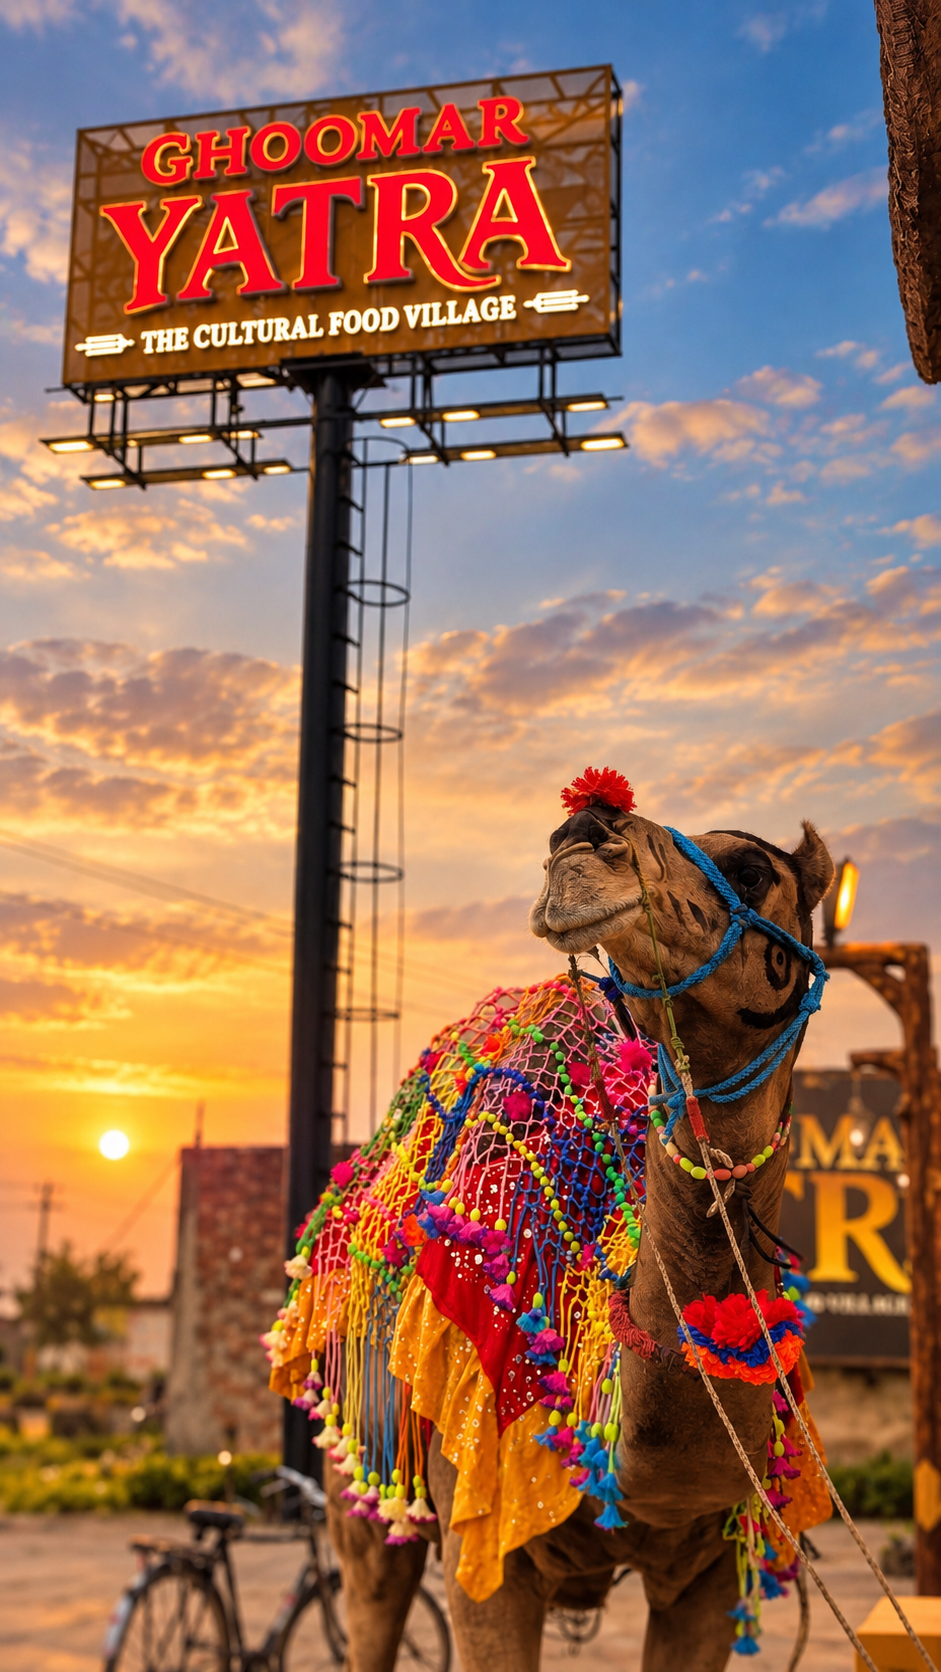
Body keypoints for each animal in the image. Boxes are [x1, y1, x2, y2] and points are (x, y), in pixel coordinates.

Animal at [278, 784, 835, 1672]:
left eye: (750, 869)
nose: (582, 833)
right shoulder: (485, 1540)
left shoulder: (712, 1569)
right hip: (359, 1456)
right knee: (370, 1590)